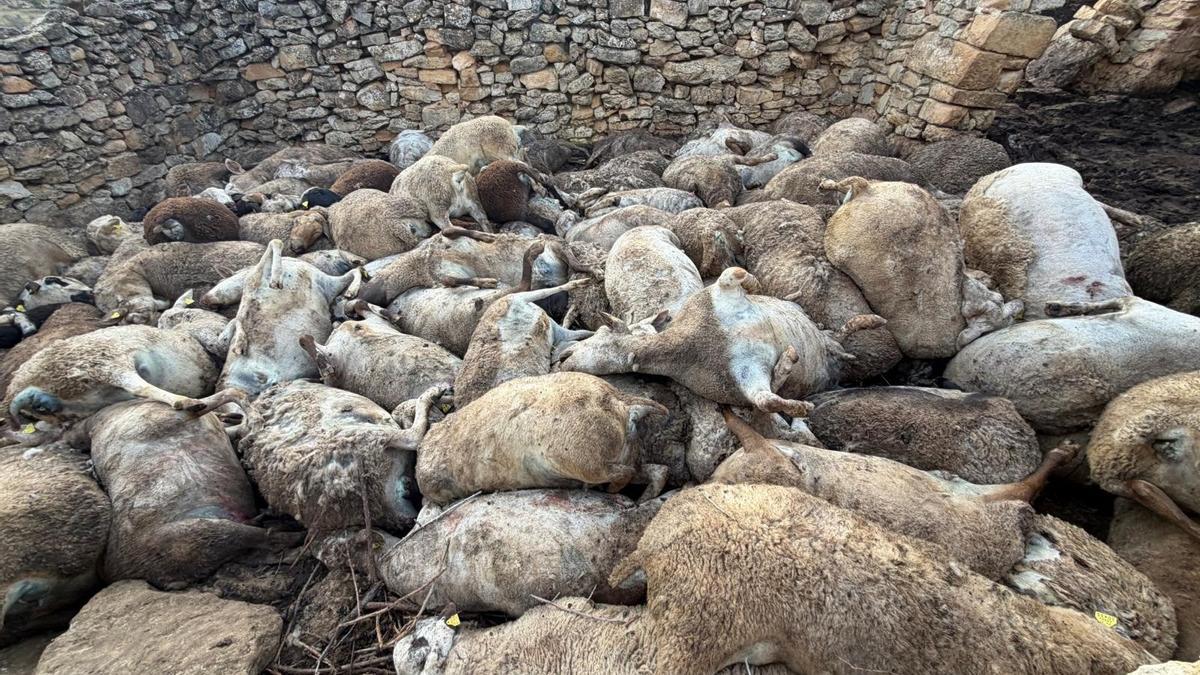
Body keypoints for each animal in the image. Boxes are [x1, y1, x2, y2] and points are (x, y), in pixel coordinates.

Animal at [414, 372, 669, 505]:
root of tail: (621, 404)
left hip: (578, 459)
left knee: (623, 474)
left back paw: (609, 490)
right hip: (623, 455)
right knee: (657, 471)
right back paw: (643, 497)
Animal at [559, 267, 885, 417]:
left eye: (603, 330)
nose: (562, 357)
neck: (694, 341)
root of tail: (834, 355)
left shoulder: (720, 293)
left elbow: (734, 274)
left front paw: (757, 286)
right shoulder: (744, 380)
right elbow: (767, 400)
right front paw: (796, 391)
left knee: (833, 333)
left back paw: (872, 323)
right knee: (837, 340)